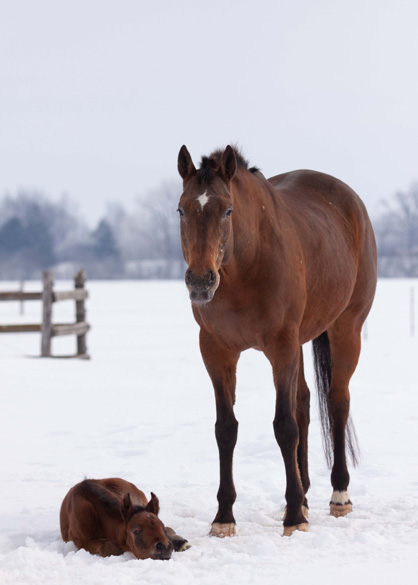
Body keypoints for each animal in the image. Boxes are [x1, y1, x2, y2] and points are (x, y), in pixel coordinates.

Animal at [176, 145, 378, 532]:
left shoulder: (281, 347)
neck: (244, 267)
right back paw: (305, 493)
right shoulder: (216, 351)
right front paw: (224, 517)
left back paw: (338, 494)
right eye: (181, 209)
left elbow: (284, 426)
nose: (200, 281)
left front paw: (295, 516)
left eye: (227, 210)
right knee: (305, 403)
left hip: (346, 329)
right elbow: (226, 429)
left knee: (337, 401)